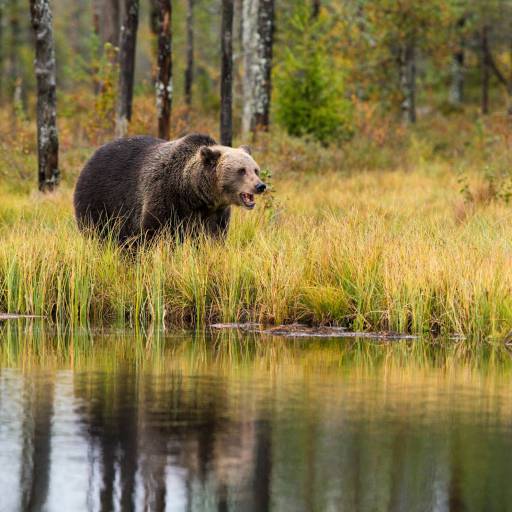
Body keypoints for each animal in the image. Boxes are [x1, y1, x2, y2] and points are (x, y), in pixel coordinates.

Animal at [74, 132, 266, 244]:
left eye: (255, 169)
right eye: (241, 170)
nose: (260, 185)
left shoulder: (215, 213)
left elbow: (214, 237)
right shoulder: (165, 197)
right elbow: (153, 232)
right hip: (100, 200)